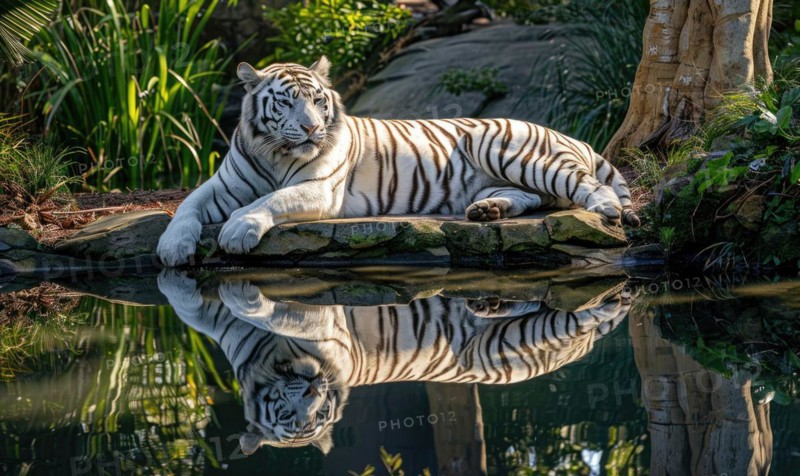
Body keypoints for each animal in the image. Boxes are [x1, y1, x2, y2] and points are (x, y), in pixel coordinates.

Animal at [156, 56, 640, 266]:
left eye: (317, 101)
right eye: (287, 102)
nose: (311, 129)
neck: (275, 150)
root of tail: (563, 133)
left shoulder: (320, 189)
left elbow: (268, 201)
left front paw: (237, 231)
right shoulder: (220, 186)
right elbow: (187, 206)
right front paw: (172, 247)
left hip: (512, 153)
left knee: (585, 186)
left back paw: (608, 209)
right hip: (500, 177)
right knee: (534, 199)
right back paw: (486, 211)